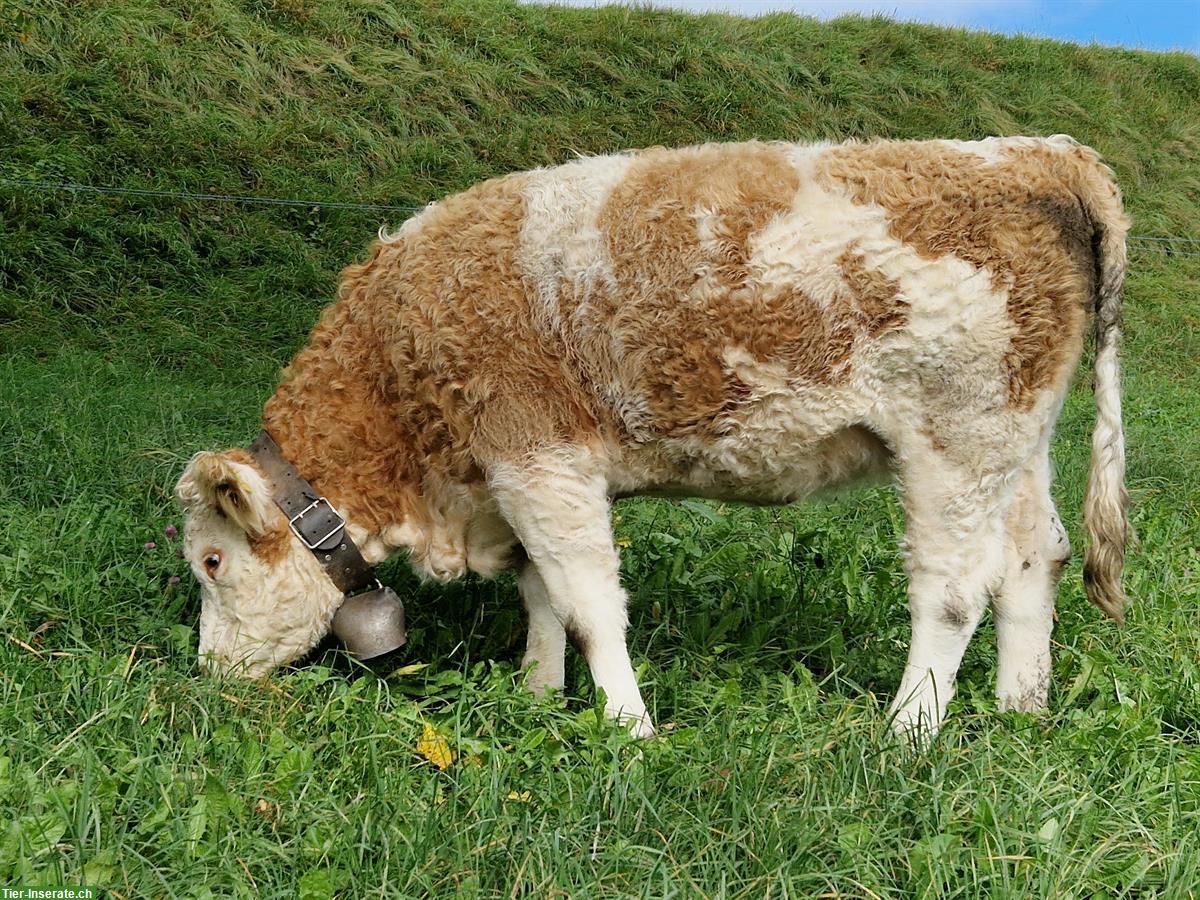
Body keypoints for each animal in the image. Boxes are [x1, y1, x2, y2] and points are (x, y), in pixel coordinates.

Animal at [175, 136, 1130, 739]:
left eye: (213, 561)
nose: (209, 675)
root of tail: (1039, 150)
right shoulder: (521, 476)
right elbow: (542, 595)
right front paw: (536, 696)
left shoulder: (538, 455)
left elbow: (589, 604)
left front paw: (628, 727)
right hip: (1015, 440)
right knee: (1034, 555)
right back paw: (1019, 709)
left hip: (954, 437)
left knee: (955, 588)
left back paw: (907, 733)